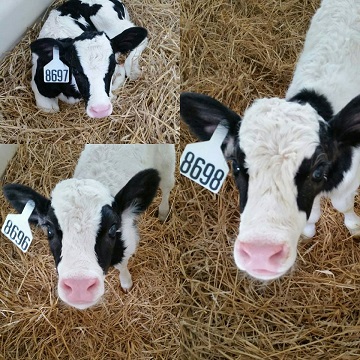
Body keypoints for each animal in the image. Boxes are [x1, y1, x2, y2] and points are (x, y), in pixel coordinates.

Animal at [2, 145, 176, 308]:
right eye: (49, 230)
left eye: (113, 228)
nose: (79, 286)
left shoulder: (128, 244)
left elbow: (122, 265)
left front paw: (126, 283)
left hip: (166, 159)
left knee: (167, 185)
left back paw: (163, 212)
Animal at [181, 0, 360, 282]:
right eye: (237, 166)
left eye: (318, 169)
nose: (260, 254)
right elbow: (315, 212)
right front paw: (308, 229)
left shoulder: (351, 178)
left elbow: (342, 204)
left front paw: (354, 226)